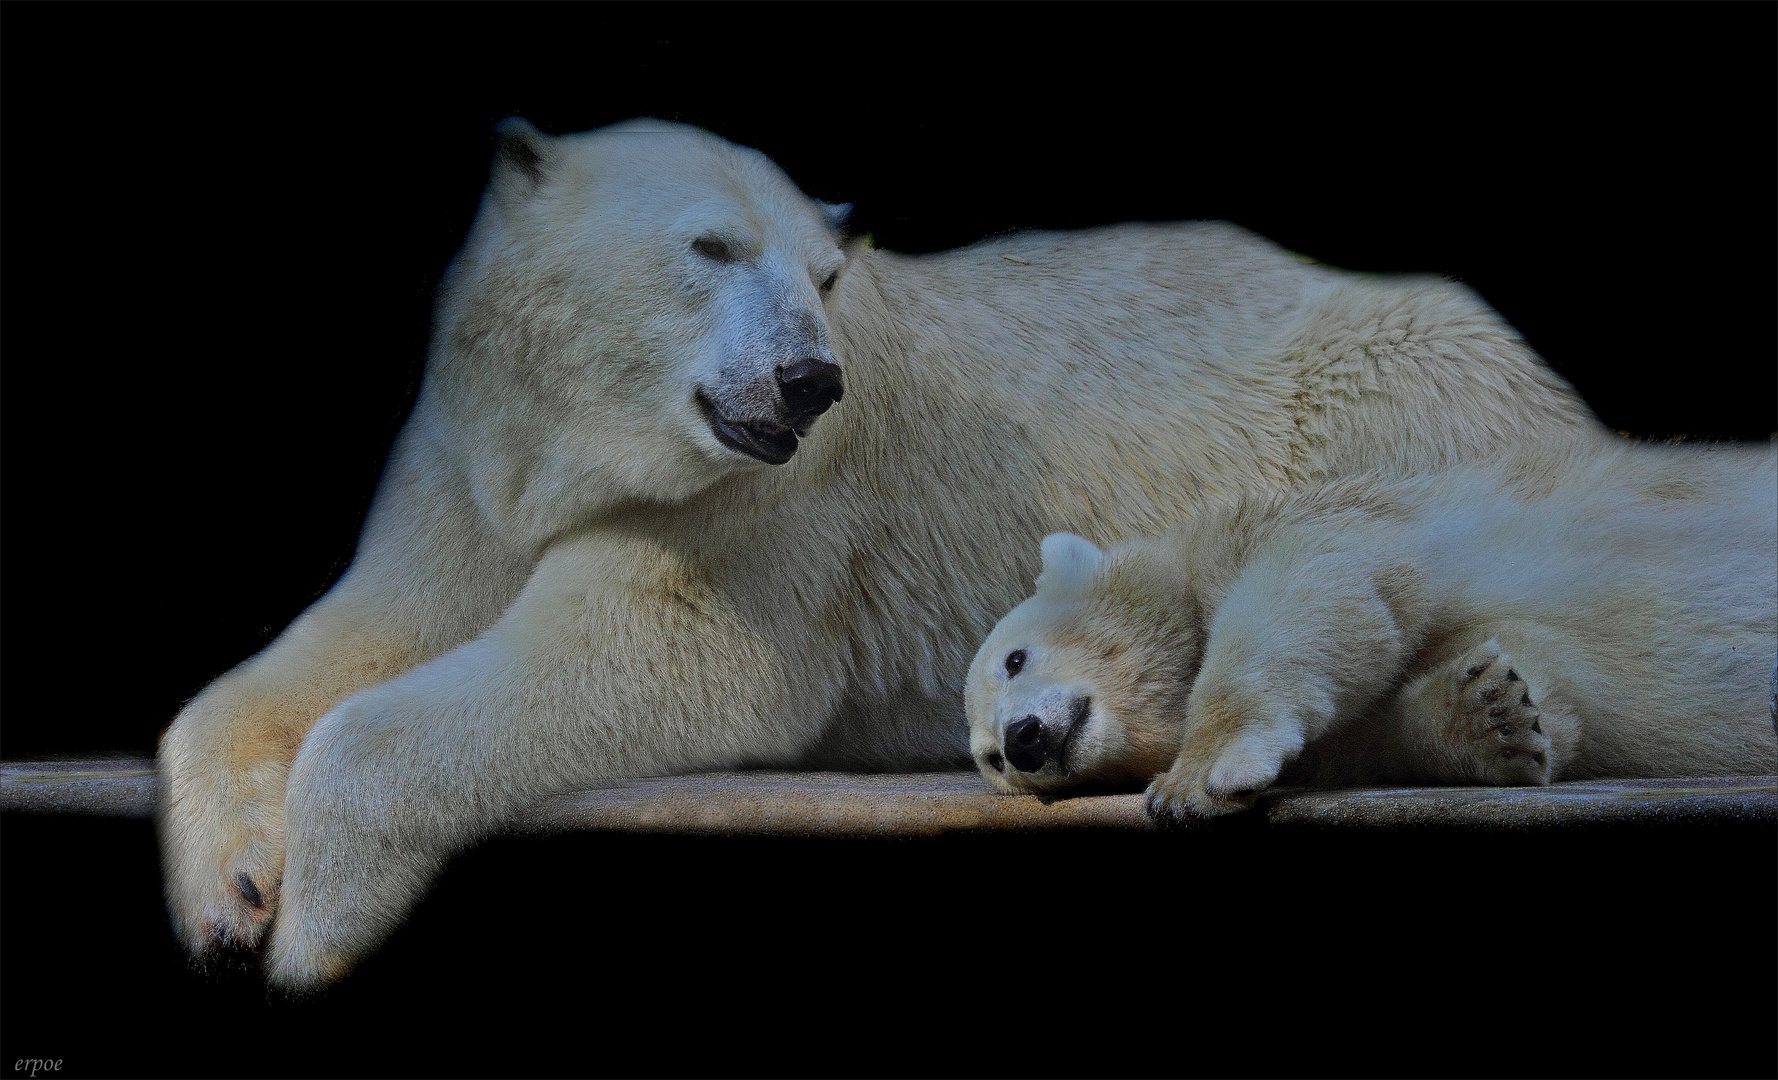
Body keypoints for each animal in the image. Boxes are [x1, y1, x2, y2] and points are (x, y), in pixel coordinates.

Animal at [156, 118, 1600, 989]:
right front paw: (229, 894)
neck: (571, 444)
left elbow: (654, 651)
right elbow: (348, 640)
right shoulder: (464, 469)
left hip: (1391, 396)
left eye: (826, 274)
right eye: (709, 245)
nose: (808, 381)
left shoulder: (764, 505)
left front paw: (316, 925)